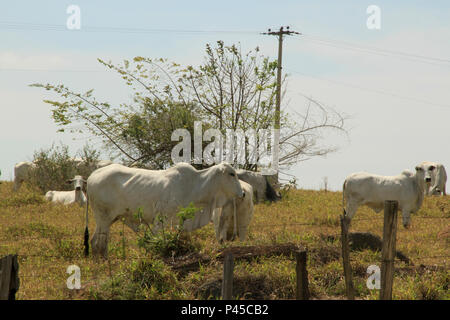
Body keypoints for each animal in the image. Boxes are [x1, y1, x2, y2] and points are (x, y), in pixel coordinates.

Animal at [85, 162, 244, 258]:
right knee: (99, 243)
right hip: (103, 218)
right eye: (231, 174)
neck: (194, 185)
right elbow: (155, 240)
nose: (242, 193)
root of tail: (92, 176)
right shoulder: (160, 220)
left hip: (108, 219)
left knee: (95, 241)